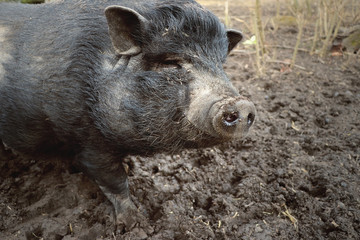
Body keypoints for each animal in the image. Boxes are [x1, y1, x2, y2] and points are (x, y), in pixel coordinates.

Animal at [0, 0, 256, 232]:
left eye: (220, 65)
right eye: (171, 63)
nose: (242, 104)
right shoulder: (88, 142)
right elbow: (116, 182)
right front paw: (134, 224)